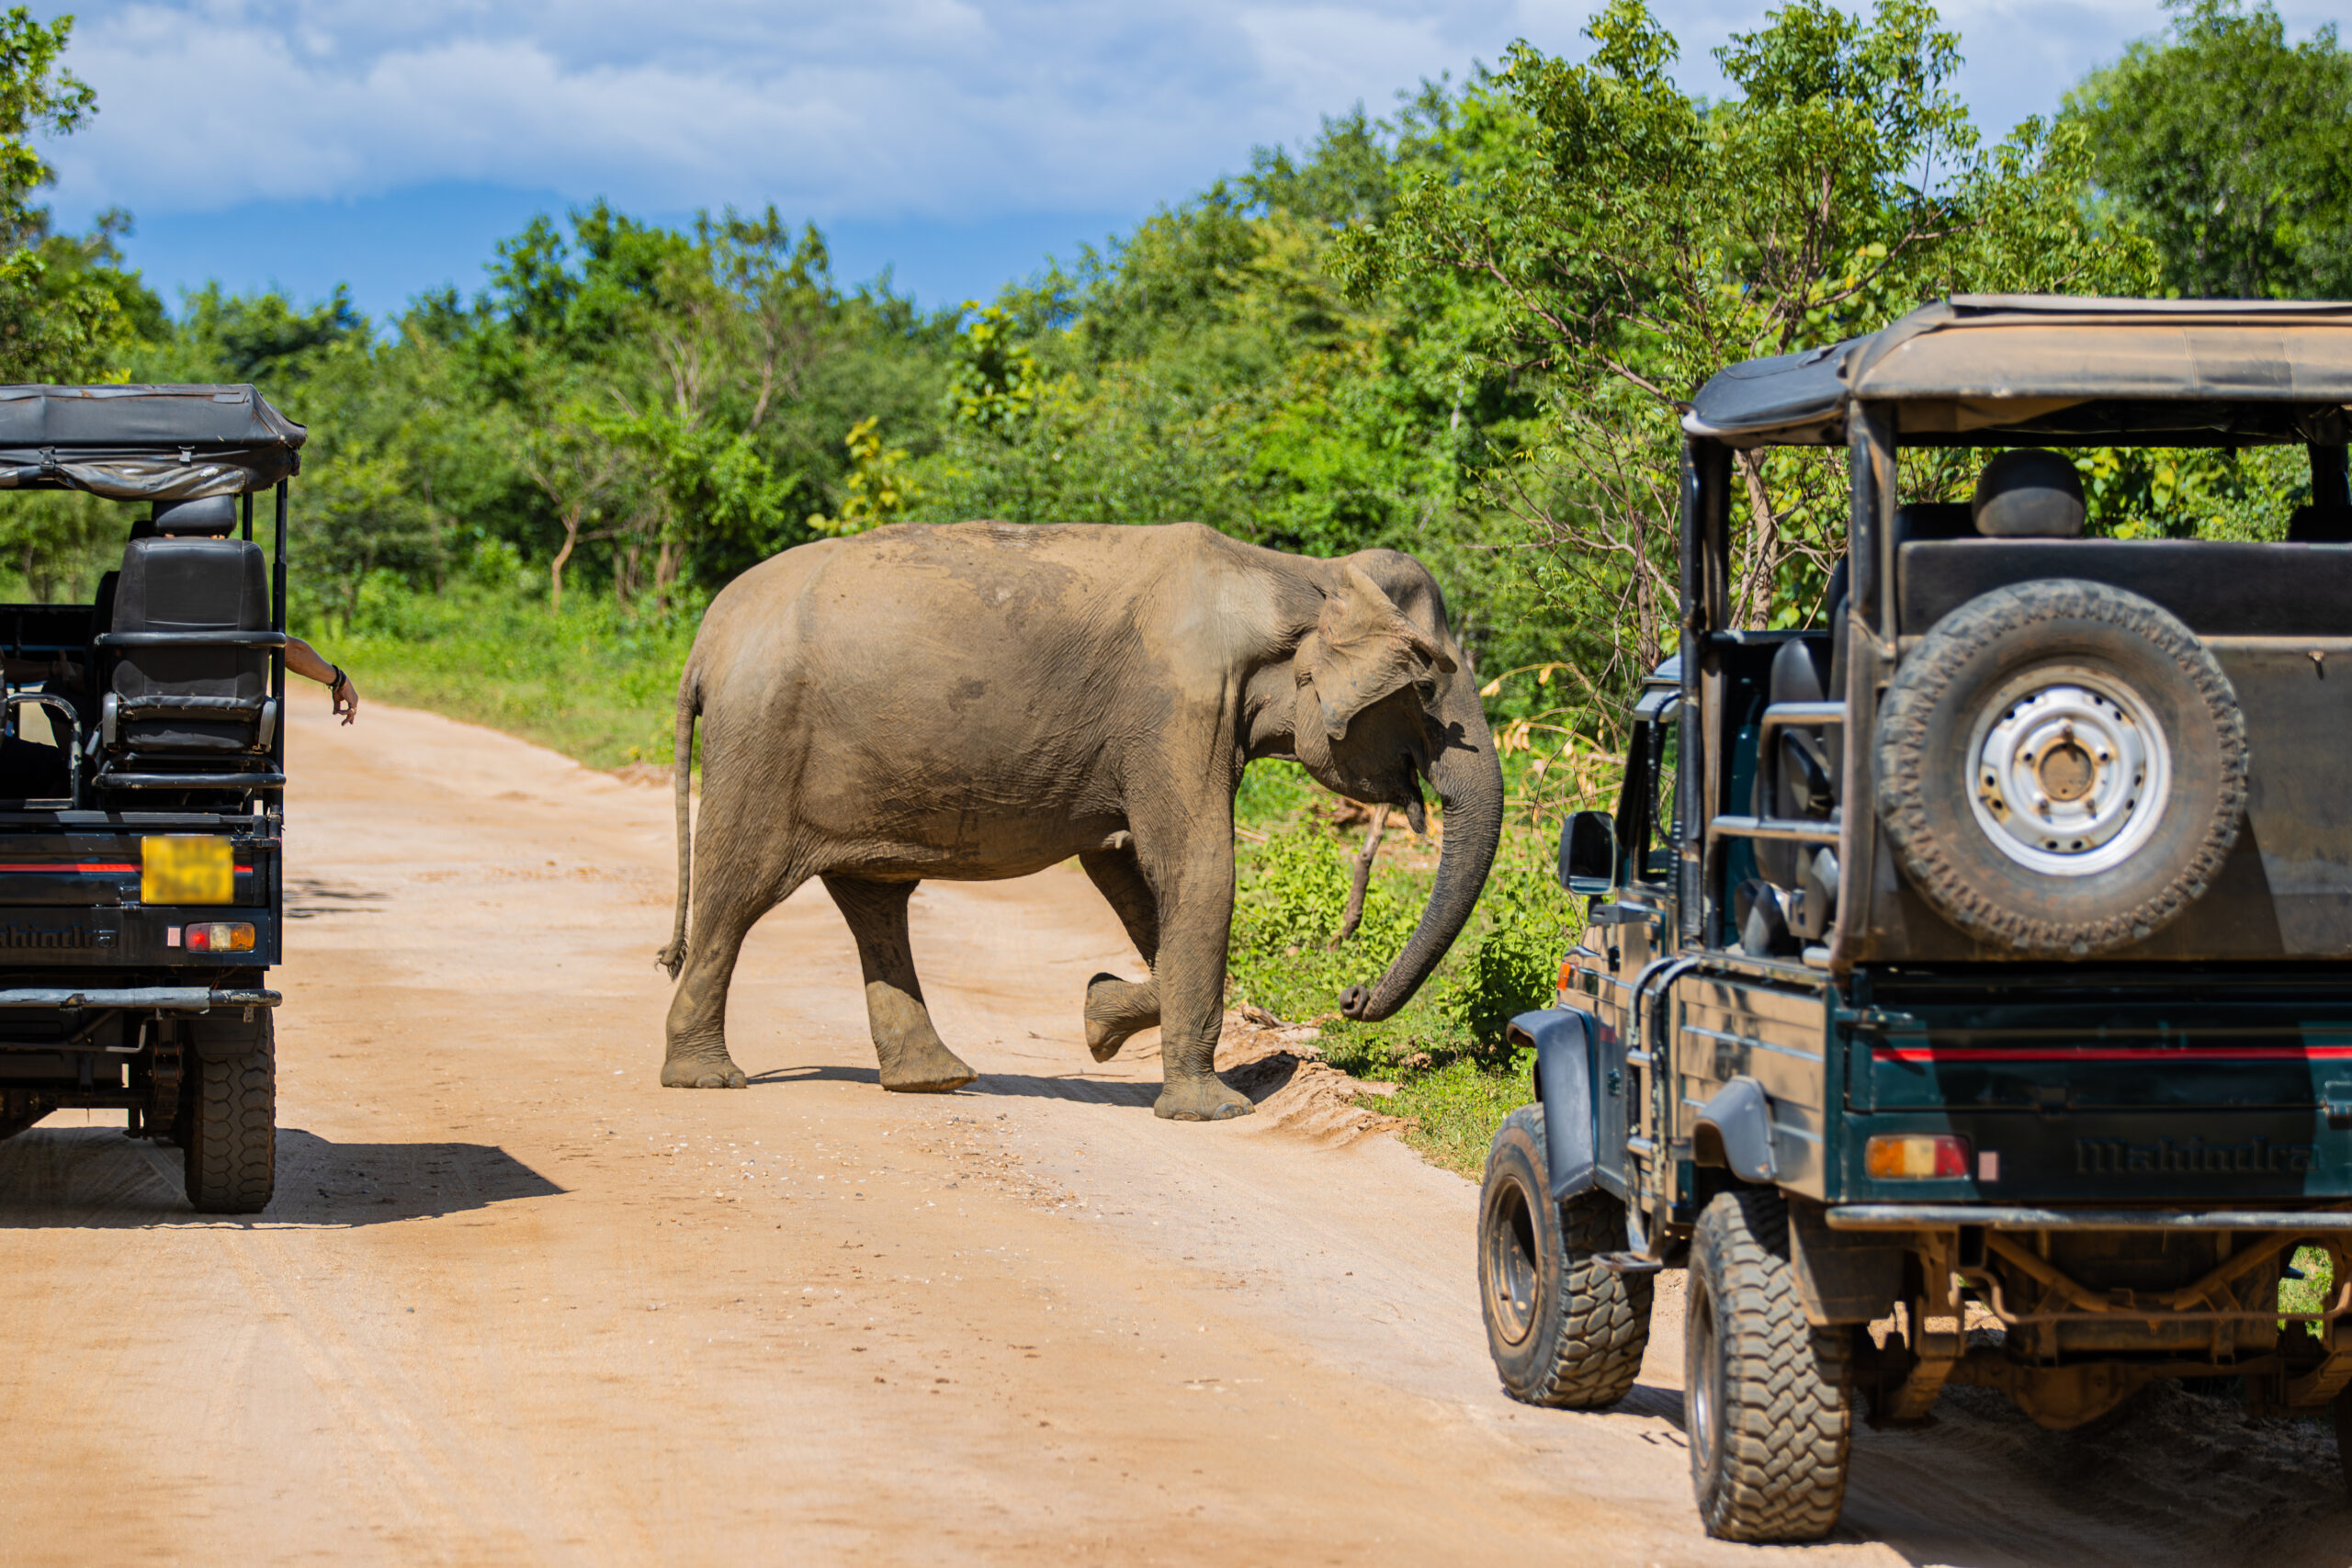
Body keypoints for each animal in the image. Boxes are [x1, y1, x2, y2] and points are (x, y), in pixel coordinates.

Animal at [655, 520, 1503, 1121]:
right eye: (1429, 688)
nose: (1352, 998)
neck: (1296, 573)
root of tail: (704, 642)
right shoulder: (1178, 705)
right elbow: (1197, 868)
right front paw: (1213, 1110)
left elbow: (1127, 869)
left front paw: (1099, 1016)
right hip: (763, 745)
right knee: (738, 892)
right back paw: (707, 1079)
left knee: (875, 900)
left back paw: (936, 1078)